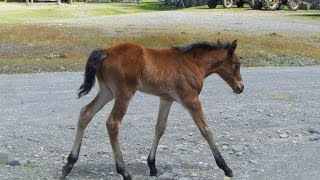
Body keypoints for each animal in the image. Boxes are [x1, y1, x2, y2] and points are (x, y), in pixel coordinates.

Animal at [61, 40, 244, 179]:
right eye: (236, 65)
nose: (240, 87)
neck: (192, 63)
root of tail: (106, 51)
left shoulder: (166, 99)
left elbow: (160, 128)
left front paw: (152, 165)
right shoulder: (190, 99)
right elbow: (205, 129)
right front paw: (225, 167)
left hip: (107, 91)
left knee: (86, 113)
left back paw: (69, 163)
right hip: (124, 93)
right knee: (113, 123)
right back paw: (124, 171)